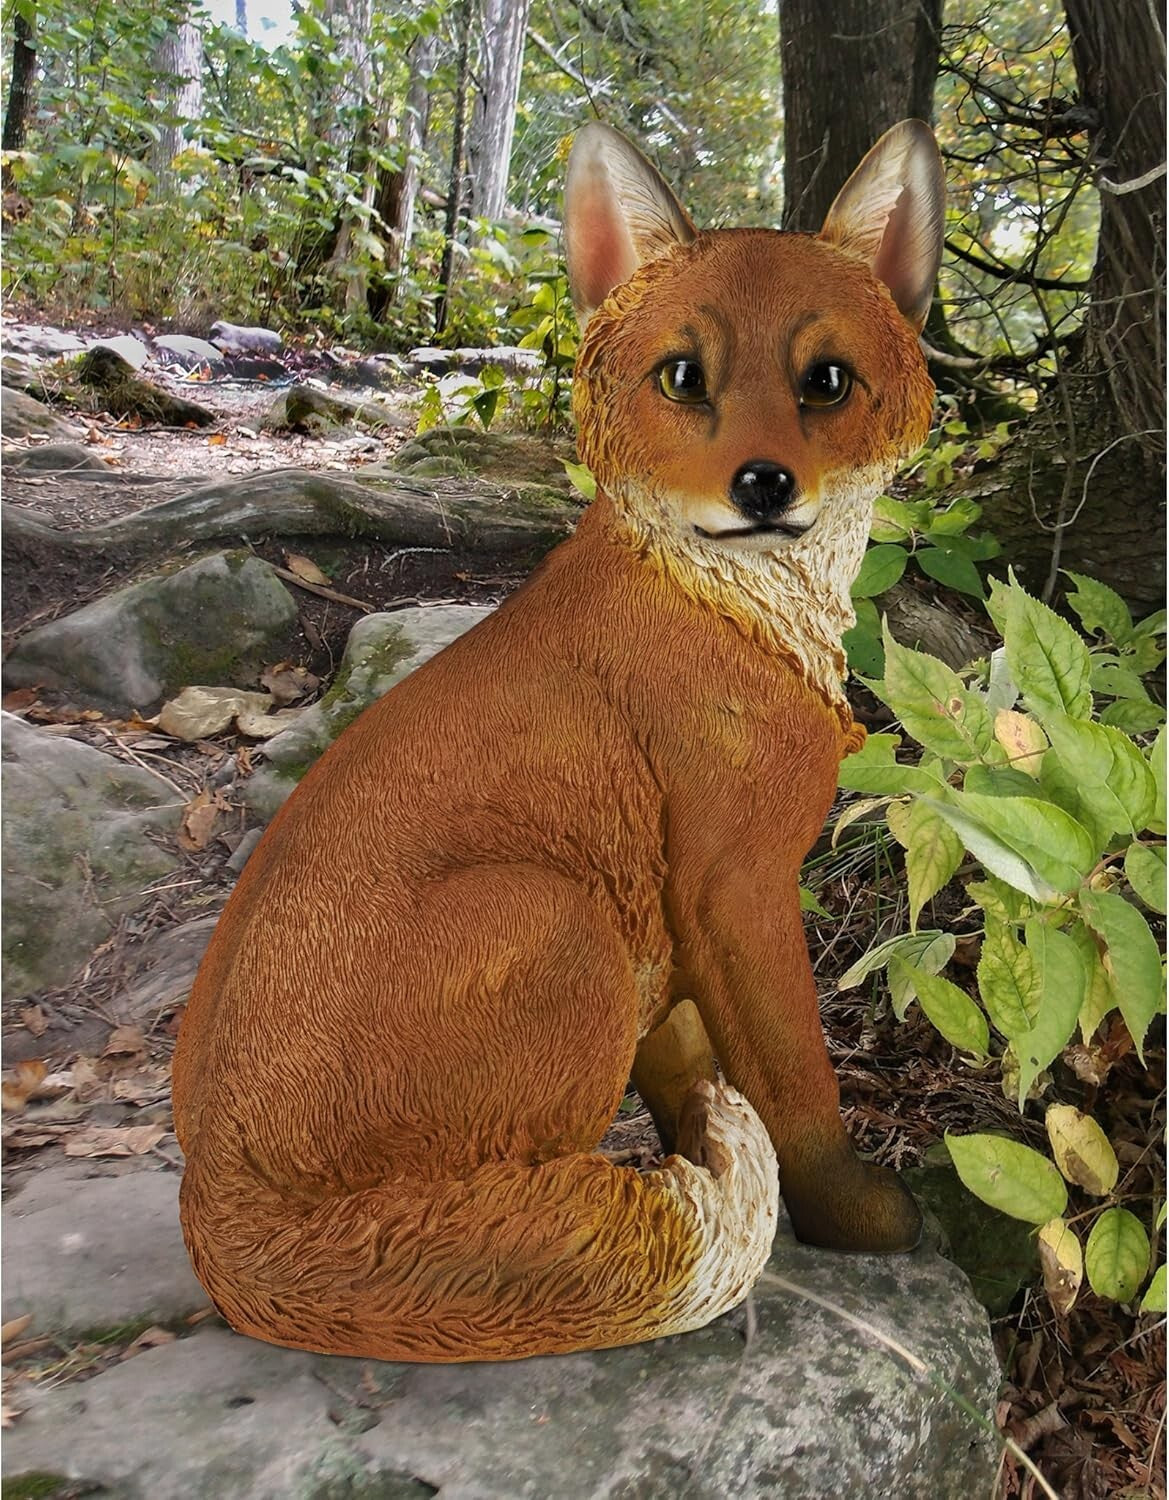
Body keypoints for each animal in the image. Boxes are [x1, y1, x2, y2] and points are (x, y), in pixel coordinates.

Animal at [172, 119, 945, 1363]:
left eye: (824, 380)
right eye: (683, 377)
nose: (762, 483)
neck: (735, 610)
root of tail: (213, 1206)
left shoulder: (666, 918)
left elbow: (691, 1072)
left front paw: (700, 1153)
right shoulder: (732, 885)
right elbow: (795, 1083)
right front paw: (850, 1217)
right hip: (556, 914)